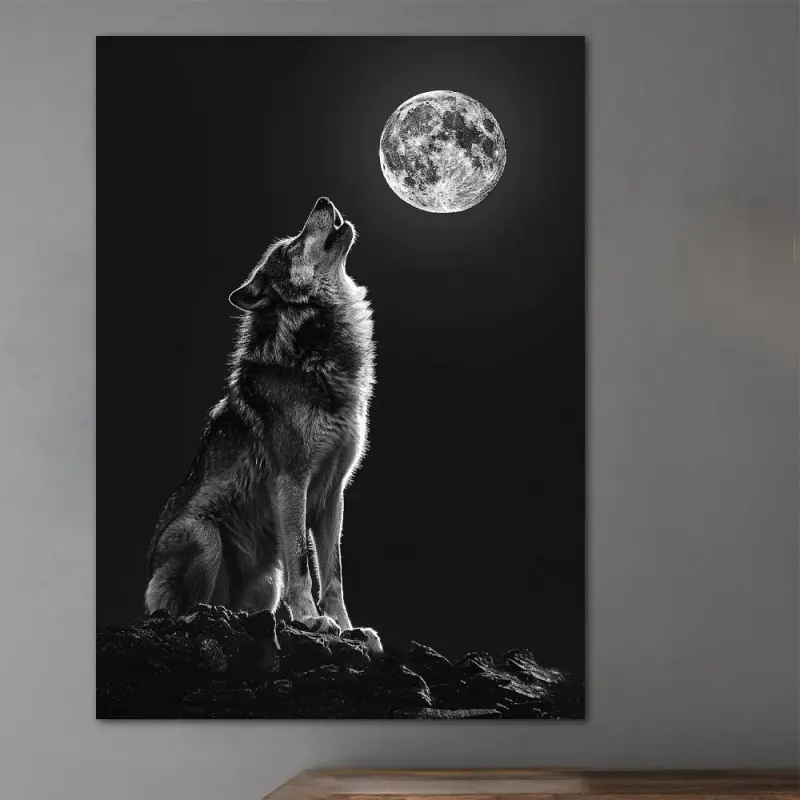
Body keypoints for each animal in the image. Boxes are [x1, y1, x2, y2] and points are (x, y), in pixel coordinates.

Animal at [144, 197, 380, 652]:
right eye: (290, 249)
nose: (323, 201)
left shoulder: (334, 494)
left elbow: (334, 575)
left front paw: (350, 629)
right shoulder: (291, 482)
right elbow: (303, 564)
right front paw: (311, 620)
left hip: (267, 581)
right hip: (204, 537)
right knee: (180, 611)